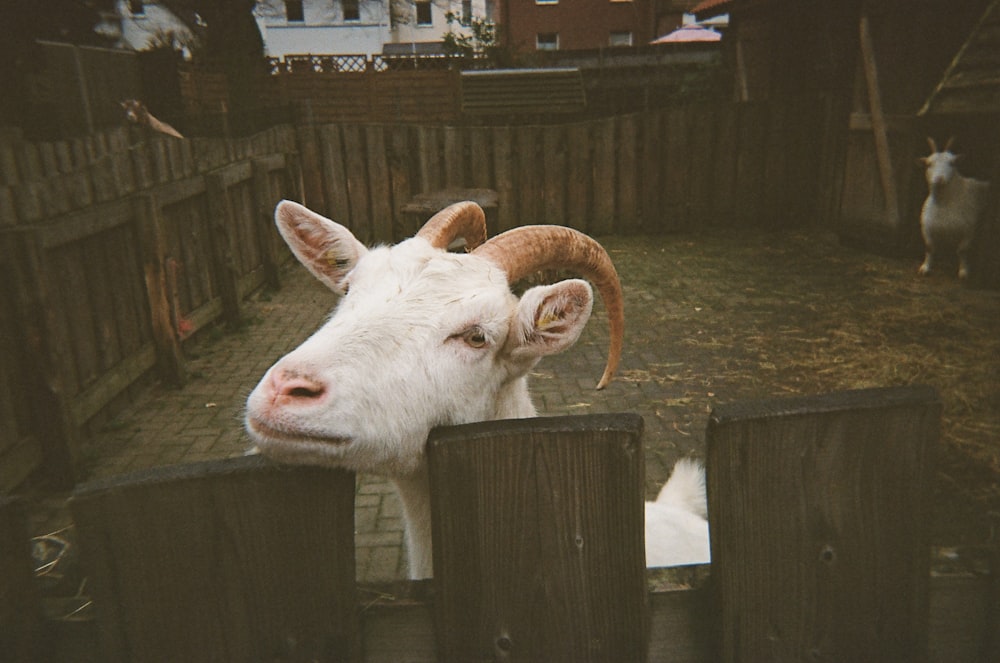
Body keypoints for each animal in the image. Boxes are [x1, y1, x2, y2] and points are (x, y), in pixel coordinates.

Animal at [916, 136, 988, 278]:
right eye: (928, 164)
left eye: (952, 163)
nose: (939, 179)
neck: (944, 203)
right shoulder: (926, 227)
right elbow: (929, 247)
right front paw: (925, 268)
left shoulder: (969, 230)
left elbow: (962, 250)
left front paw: (964, 272)